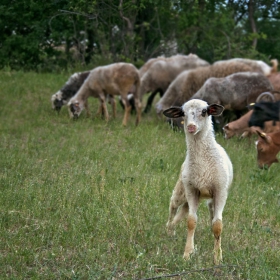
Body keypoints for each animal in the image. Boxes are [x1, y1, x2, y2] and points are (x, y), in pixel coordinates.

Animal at [163, 99, 233, 266]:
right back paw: (169, 229)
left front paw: (217, 258)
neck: (203, 163)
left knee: (189, 210)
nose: (191, 127)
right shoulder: (191, 189)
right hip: (182, 190)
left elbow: (217, 225)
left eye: (204, 111)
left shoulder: (220, 191)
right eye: (183, 113)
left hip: (204, 197)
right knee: (173, 205)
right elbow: (191, 221)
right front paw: (187, 253)